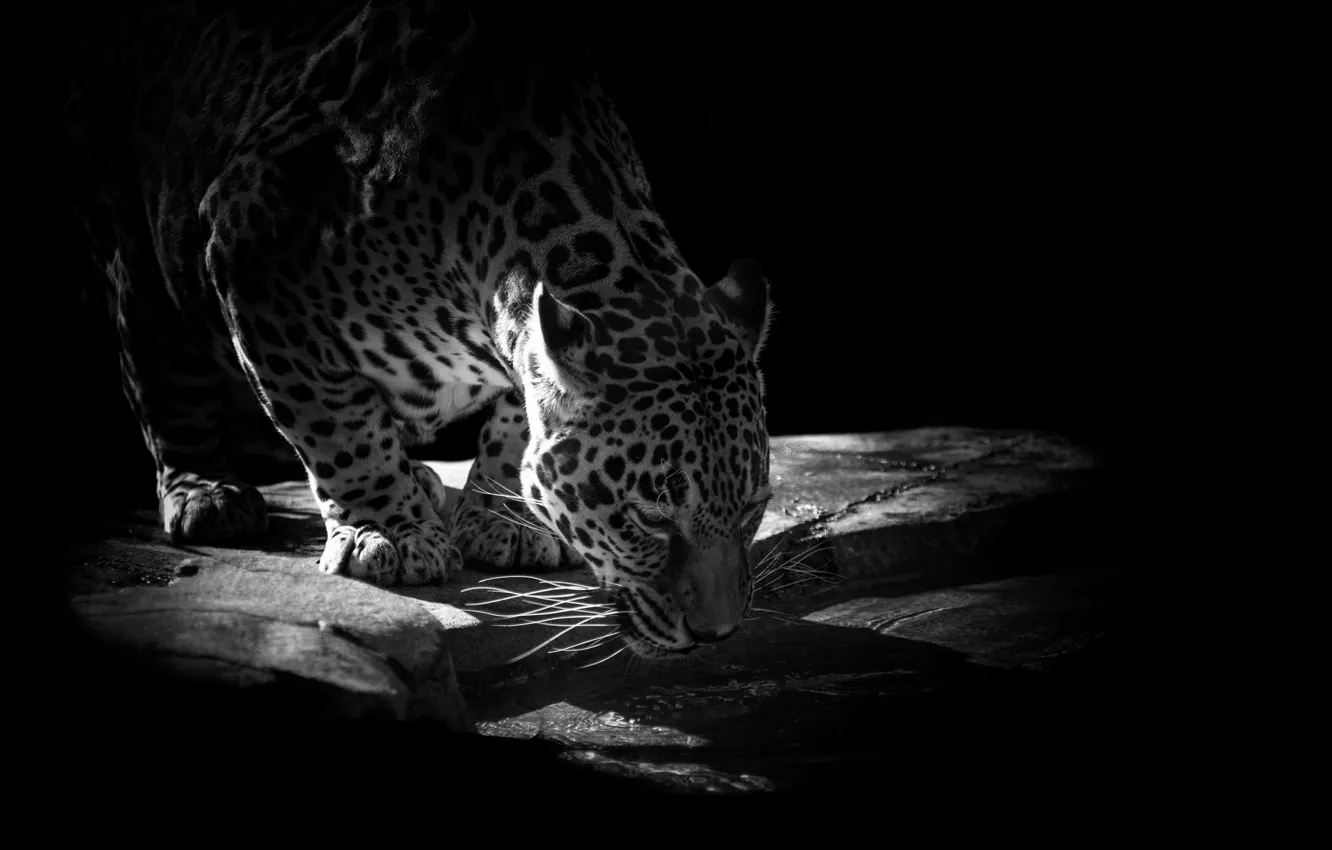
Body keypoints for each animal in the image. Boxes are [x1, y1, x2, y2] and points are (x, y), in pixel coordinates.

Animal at [65, 1, 774, 657]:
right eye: (649, 518)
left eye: (750, 507)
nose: (717, 634)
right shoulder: (251, 248)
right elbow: (337, 425)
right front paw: (387, 531)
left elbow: (516, 421)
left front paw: (506, 518)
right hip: (139, 251)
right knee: (161, 373)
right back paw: (207, 492)